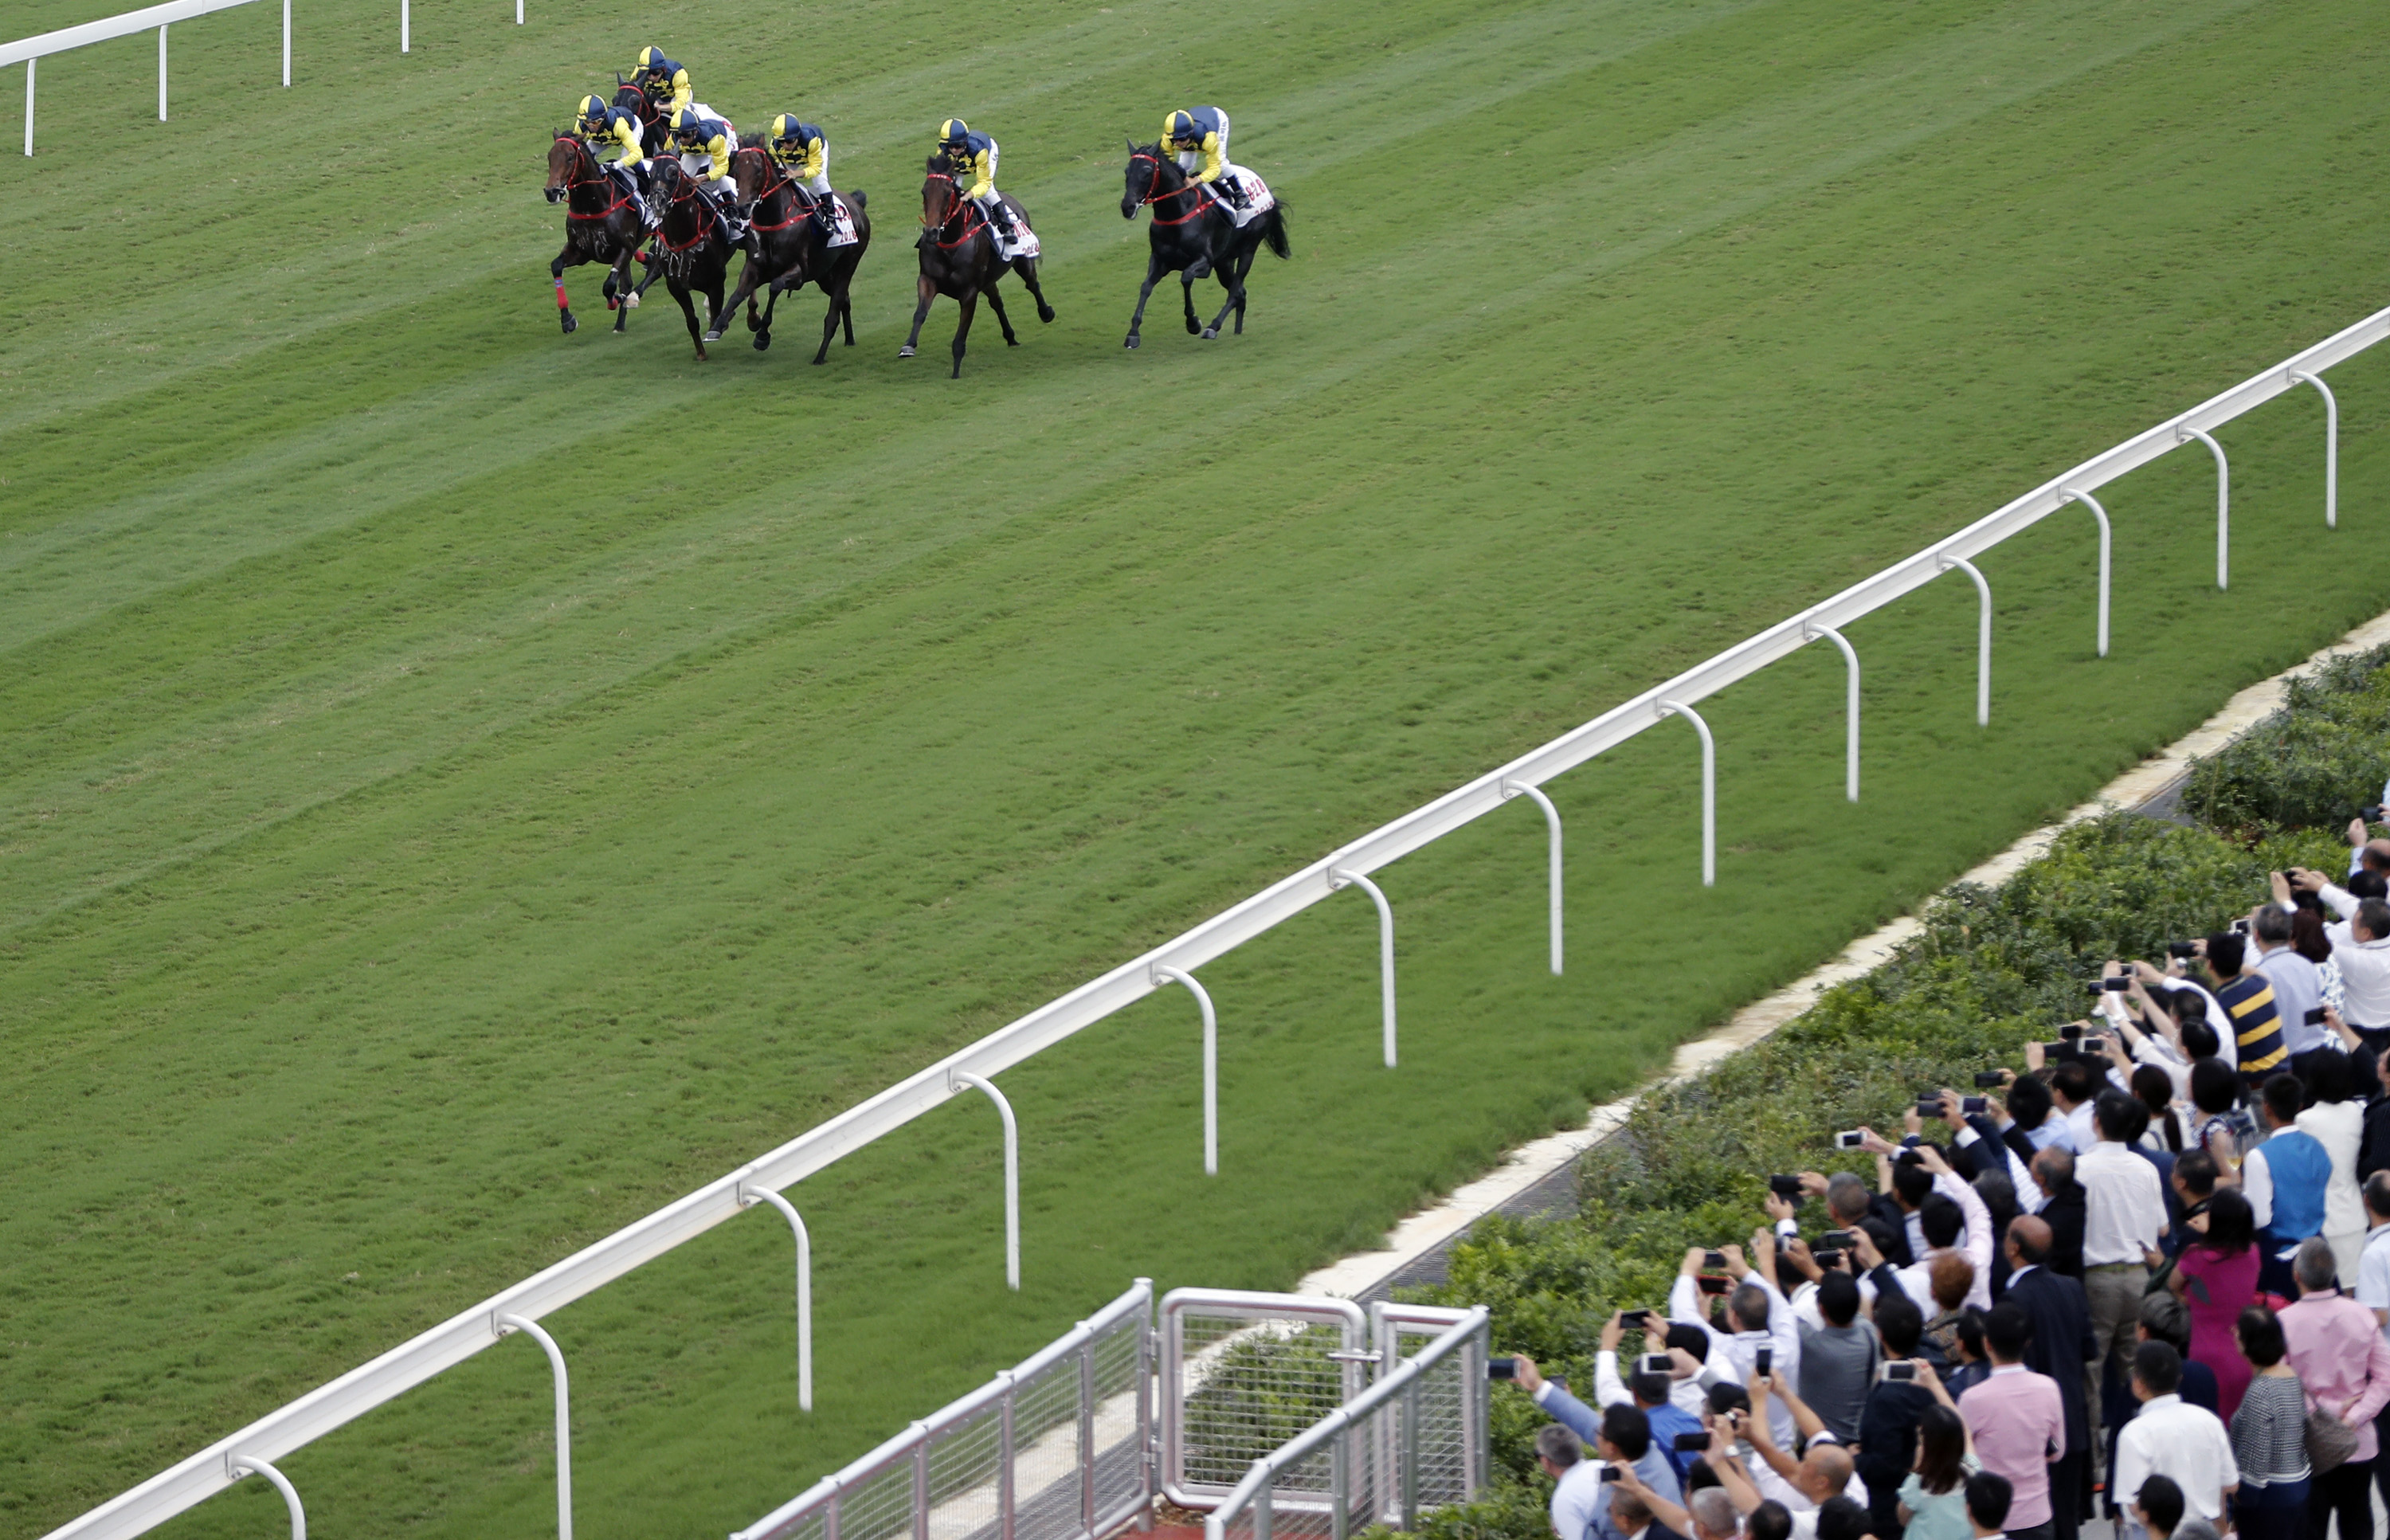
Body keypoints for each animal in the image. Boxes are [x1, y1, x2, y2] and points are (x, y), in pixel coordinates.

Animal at [545, 133, 650, 337]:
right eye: (549, 157)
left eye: (570, 157)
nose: (551, 192)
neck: (592, 206)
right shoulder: (581, 252)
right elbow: (556, 266)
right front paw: (567, 320)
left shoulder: (623, 249)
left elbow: (609, 286)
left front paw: (618, 299)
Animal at [641, 155, 731, 361]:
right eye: (652, 172)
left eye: (674, 172)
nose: (658, 202)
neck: (683, 237)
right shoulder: (676, 286)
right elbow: (692, 321)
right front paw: (701, 353)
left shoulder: (716, 280)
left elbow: (716, 317)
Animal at [707, 149, 880, 366]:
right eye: (736, 171)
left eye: (758, 170)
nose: (742, 208)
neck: (774, 219)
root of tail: (857, 204)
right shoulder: (755, 267)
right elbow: (737, 294)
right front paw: (717, 326)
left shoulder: (798, 272)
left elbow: (774, 287)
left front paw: (762, 336)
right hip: (824, 274)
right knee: (845, 301)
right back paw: (849, 339)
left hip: (847, 266)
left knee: (833, 313)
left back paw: (820, 357)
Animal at [899, 151, 1056, 380]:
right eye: (924, 192)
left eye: (947, 193)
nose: (931, 233)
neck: (951, 243)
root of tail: (1012, 201)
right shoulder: (928, 279)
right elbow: (920, 313)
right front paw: (908, 346)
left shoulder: (969, 291)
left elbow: (961, 334)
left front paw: (956, 370)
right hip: (989, 278)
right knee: (997, 302)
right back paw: (1010, 336)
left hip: (1022, 261)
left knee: (1032, 284)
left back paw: (1046, 313)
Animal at [1114, 141, 1291, 349]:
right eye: (1127, 170)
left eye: (1147, 171)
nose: (1127, 207)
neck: (1177, 213)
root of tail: (1268, 192)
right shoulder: (1159, 260)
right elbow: (1145, 287)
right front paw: (1133, 333)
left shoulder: (1205, 262)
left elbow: (1186, 278)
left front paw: (1193, 323)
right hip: (1224, 262)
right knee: (1240, 292)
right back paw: (1236, 329)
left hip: (1248, 250)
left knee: (1235, 291)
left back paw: (1213, 327)